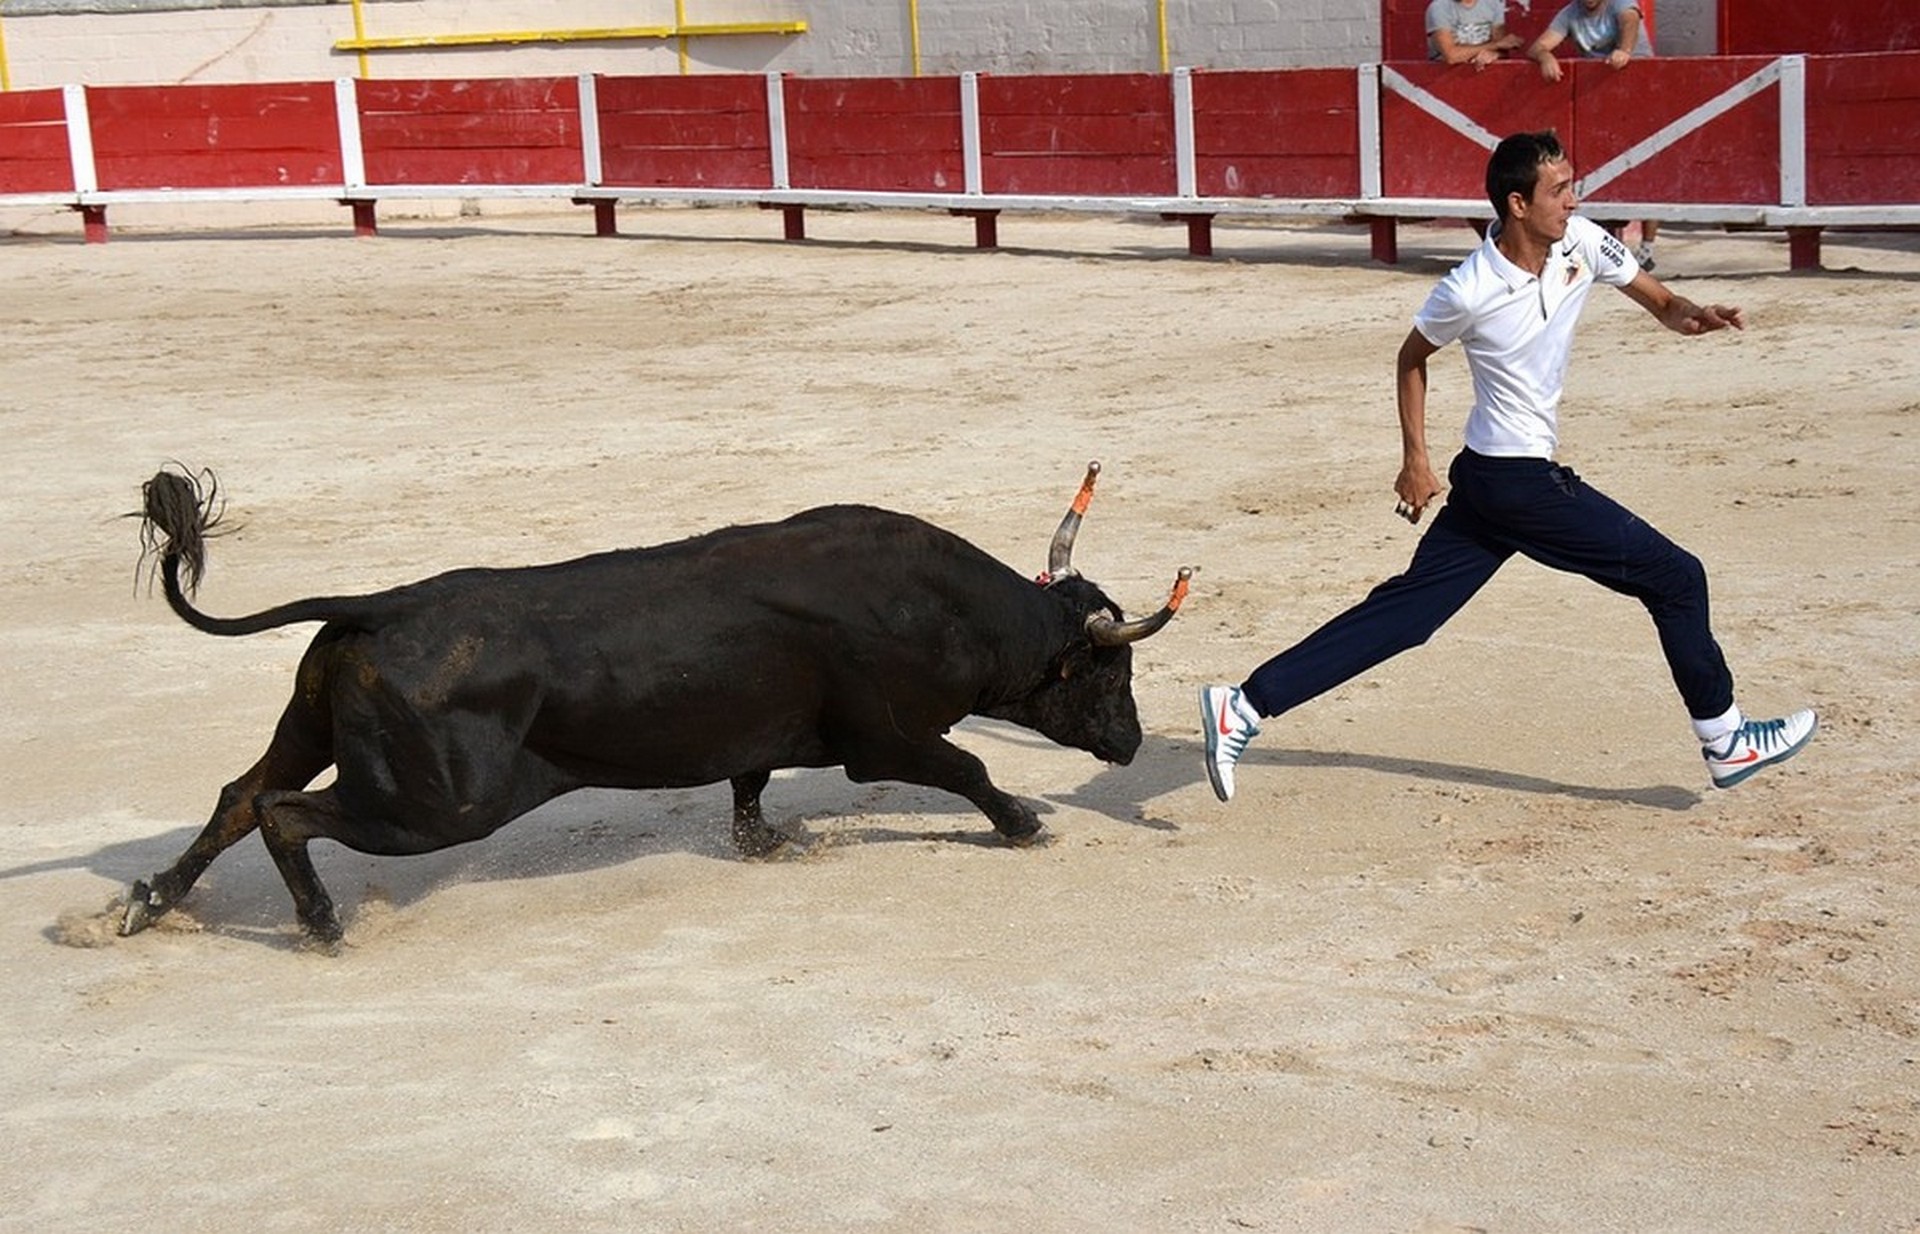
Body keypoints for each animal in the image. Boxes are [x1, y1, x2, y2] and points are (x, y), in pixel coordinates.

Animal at [120, 464, 1182, 948]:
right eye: (1108, 675)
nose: (1133, 745)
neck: (948, 607)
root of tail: (385, 605)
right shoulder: (884, 739)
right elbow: (968, 765)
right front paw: (1025, 823)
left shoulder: (766, 728)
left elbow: (750, 779)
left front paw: (763, 843)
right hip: (435, 805)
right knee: (281, 811)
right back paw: (323, 924)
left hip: (312, 730)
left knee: (239, 795)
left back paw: (149, 902)